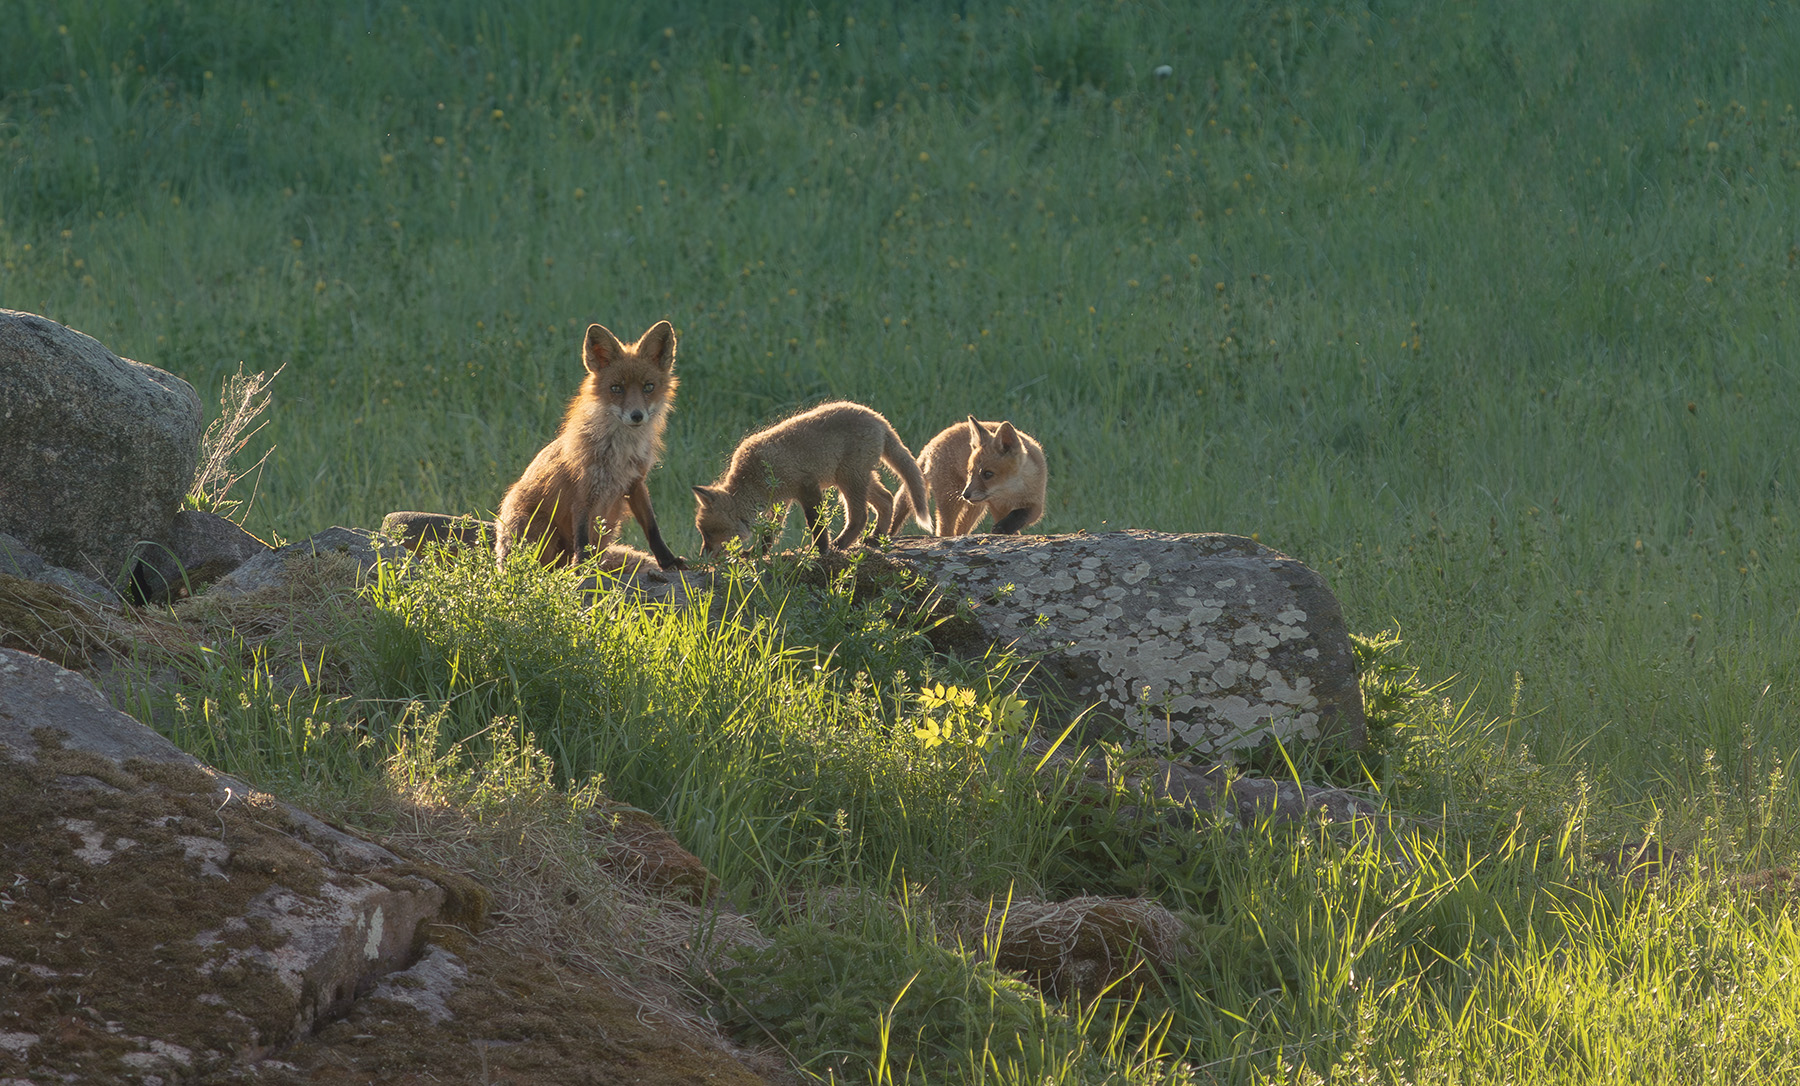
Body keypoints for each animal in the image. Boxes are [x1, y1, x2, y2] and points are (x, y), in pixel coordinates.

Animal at [496, 320, 684, 569]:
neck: (620, 454)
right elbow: (582, 538)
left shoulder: (635, 483)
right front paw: (580, 570)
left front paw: (668, 560)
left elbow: (652, 528)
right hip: (541, 531)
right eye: (616, 388)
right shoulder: (583, 492)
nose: (637, 416)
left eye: (648, 387)